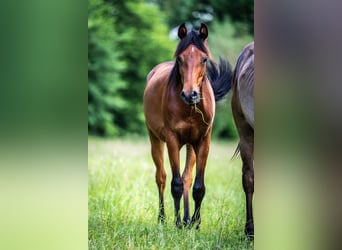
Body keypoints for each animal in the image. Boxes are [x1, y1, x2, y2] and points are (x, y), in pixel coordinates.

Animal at [142, 23, 232, 229]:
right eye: (180, 59)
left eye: (204, 59)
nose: (190, 94)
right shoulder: (172, 140)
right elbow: (175, 184)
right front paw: (176, 223)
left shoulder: (203, 142)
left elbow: (197, 185)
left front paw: (196, 224)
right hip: (155, 139)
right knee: (161, 177)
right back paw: (163, 219)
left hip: (191, 145)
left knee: (187, 178)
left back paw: (187, 220)